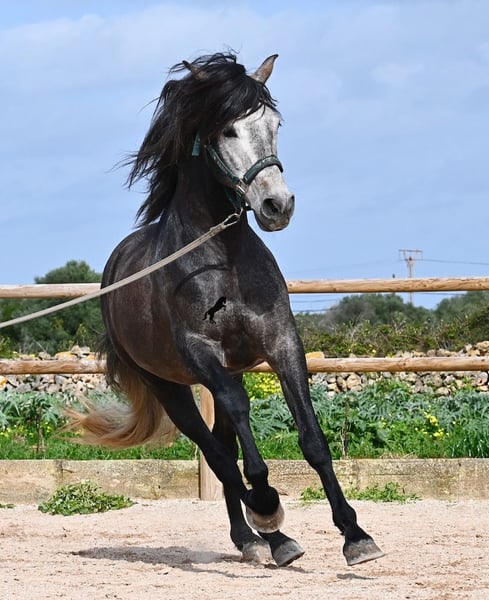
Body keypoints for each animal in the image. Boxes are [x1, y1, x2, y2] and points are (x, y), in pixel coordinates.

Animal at [69, 52, 384, 568]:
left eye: (274, 124)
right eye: (228, 131)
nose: (277, 205)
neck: (224, 259)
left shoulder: (281, 343)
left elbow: (313, 440)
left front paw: (356, 536)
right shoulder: (202, 354)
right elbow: (238, 435)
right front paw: (269, 506)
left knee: (223, 442)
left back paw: (258, 539)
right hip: (170, 386)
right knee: (216, 452)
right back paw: (266, 530)